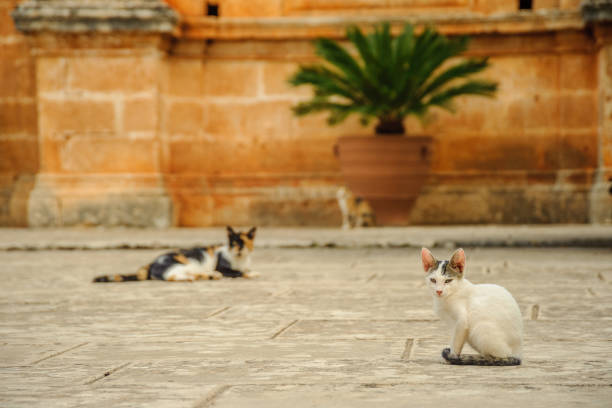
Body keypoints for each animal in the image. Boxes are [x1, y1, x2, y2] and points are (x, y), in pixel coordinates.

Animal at [93, 226, 258, 284]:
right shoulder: (223, 267)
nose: (238, 249)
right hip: (179, 264)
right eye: (233, 243)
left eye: (243, 243)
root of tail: (150, 264)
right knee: (172, 277)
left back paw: (210, 276)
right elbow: (237, 272)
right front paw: (252, 273)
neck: (241, 259)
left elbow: (242, 270)